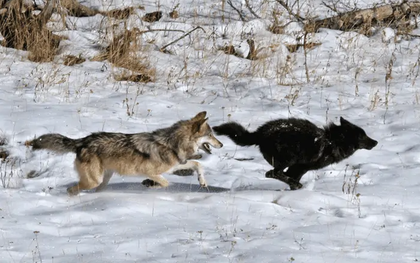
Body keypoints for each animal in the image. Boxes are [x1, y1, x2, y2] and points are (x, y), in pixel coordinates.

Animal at [26, 112, 223, 196]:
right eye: (211, 134)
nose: (221, 144)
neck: (173, 143)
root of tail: (83, 141)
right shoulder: (150, 171)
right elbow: (166, 183)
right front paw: (151, 187)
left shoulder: (174, 166)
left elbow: (198, 164)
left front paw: (202, 182)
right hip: (93, 180)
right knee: (71, 189)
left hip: (102, 181)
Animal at [213, 117, 378, 190]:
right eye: (363, 136)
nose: (376, 142)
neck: (333, 142)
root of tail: (260, 133)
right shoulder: (300, 167)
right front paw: (296, 186)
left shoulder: (298, 169)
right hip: (288, 160)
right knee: (272, 173)